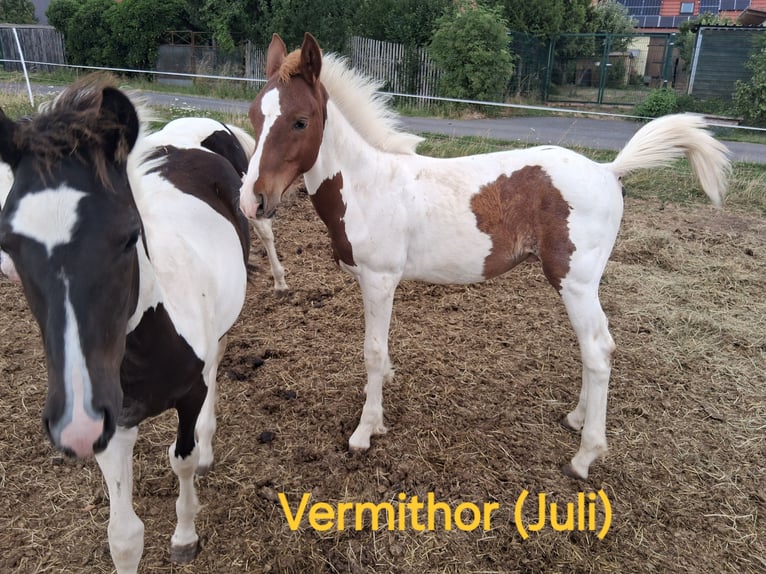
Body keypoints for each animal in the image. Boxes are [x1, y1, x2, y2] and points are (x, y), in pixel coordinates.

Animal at [0, 75, 250, 573]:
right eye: (9, 245)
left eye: (129, 234)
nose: (74, 425)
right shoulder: (112, 421)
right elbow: (124, 536)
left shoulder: (187, 395)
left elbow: (183, 459)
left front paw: (185, 537)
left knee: (216, 363)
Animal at [240, 33, 731, 481]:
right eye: (253, 115)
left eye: (301, 121)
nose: (253, 201)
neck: (366, 185)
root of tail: (609, 170)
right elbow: (383, 350)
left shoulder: (379, 278)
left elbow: (373, 352)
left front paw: (366, 429)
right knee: (594, 347)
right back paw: (576, 418)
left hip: (575, 281)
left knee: (597, 349)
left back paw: (585, 455)